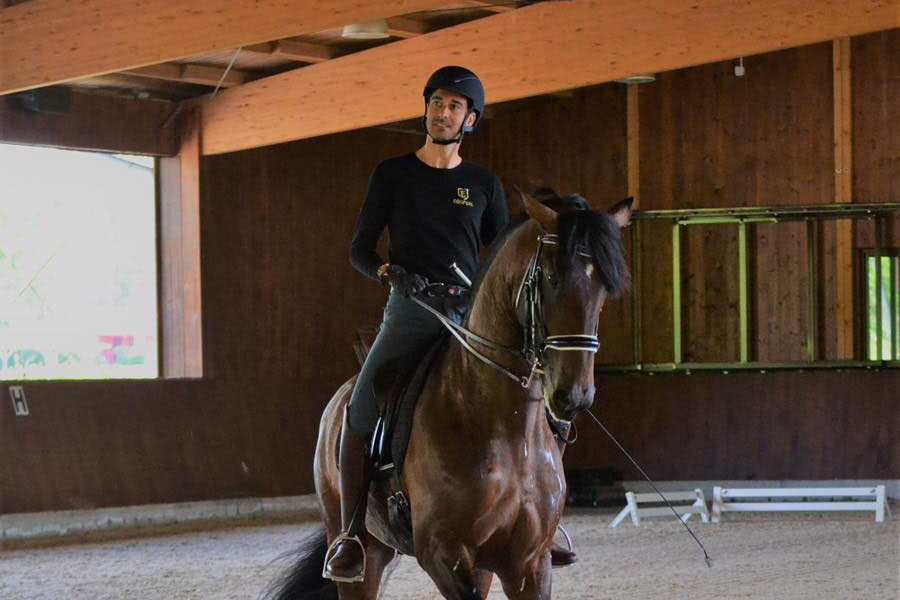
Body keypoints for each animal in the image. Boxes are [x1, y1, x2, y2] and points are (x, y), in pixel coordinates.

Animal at [268, 191, 632, 596]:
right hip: (362, 549)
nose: (575, 395)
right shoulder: (443, 554)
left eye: (605, 288)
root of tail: (338, 401)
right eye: (551, 279)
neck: (505, 427)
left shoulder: (529, 564)